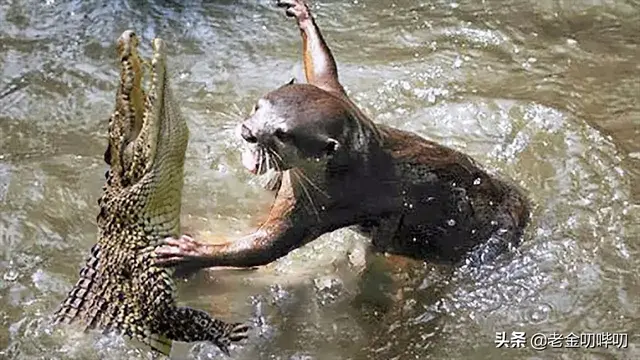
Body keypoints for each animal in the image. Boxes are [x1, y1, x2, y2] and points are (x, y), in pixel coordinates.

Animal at [154, 0, 528, 270]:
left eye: (282, 134)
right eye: (258, 105)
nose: (248, 132)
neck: (345, 164)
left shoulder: (321, 204)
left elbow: (266, 246)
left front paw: (190, 253)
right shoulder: (337, 95)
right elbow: (323, 68)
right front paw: (302, 14)